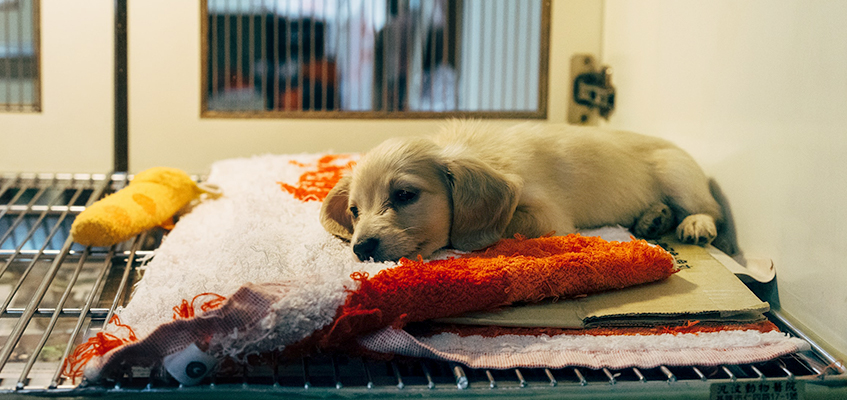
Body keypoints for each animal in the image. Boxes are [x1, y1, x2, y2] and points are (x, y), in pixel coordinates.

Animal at [322, 119, 724, 262]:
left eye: (405, 195)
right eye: (355, 211)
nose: (361, 248)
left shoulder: (549, 216)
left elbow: (503, 224)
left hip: (677, 175)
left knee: (710, 210)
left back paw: (695, 223)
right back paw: (654, 217)